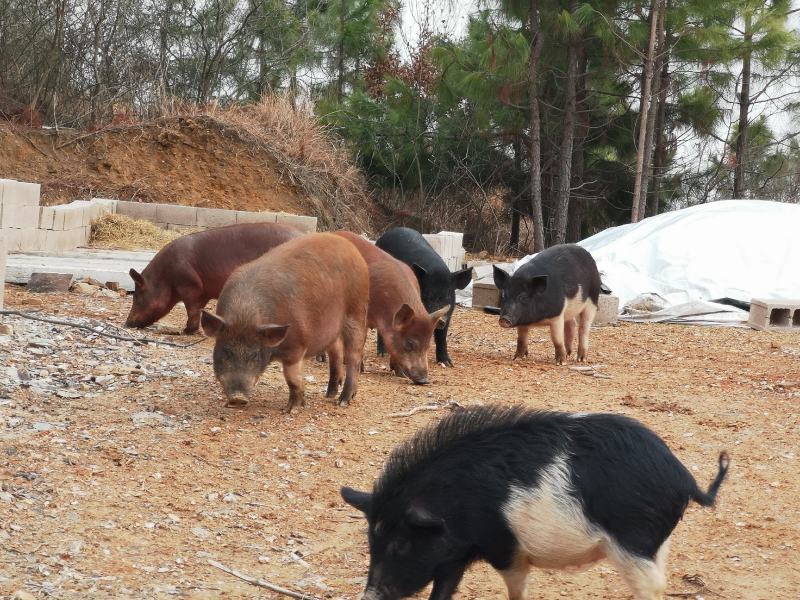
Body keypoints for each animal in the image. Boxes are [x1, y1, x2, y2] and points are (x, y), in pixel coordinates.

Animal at [125, 221, 300, 332]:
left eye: (136, 296)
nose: (127, 323)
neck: (165, 278)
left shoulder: (189, 285)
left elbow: (191, 308)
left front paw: (187, 331)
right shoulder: (203, 292)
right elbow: (199, 308)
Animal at [203, 233, 372, 412]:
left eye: (255, 354)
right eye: (226, 351)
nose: (238, 398)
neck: (245, 312)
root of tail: (354, 251)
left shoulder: (297, 347)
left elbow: (292, 378)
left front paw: (291, 409)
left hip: (357, 311)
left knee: (353, 356)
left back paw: (343, 400)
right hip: (333, 328)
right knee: (336, 351)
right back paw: (329, 394)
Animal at [334, 230, 454, 384]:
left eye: (427, 345)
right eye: (409, 343)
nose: (424, 380)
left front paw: (400, 374)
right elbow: (362, 339)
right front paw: (361, 370)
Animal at [340, 406, 728, 600]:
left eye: (400, 543)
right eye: (372, 542)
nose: (369, 595)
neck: (459, 500)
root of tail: (684, 479)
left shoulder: (504, 546)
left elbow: (516, 586)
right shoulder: (455, 551)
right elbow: (443, 590)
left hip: (633, 541)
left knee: (653, 587)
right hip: (657, 542)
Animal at [376, 229, 476, 366]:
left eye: (448, 295)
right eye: (426, 295)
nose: (440, 319)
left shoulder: (448, 315)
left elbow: (442, 337)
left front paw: (447, 363)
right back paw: (381, 354)